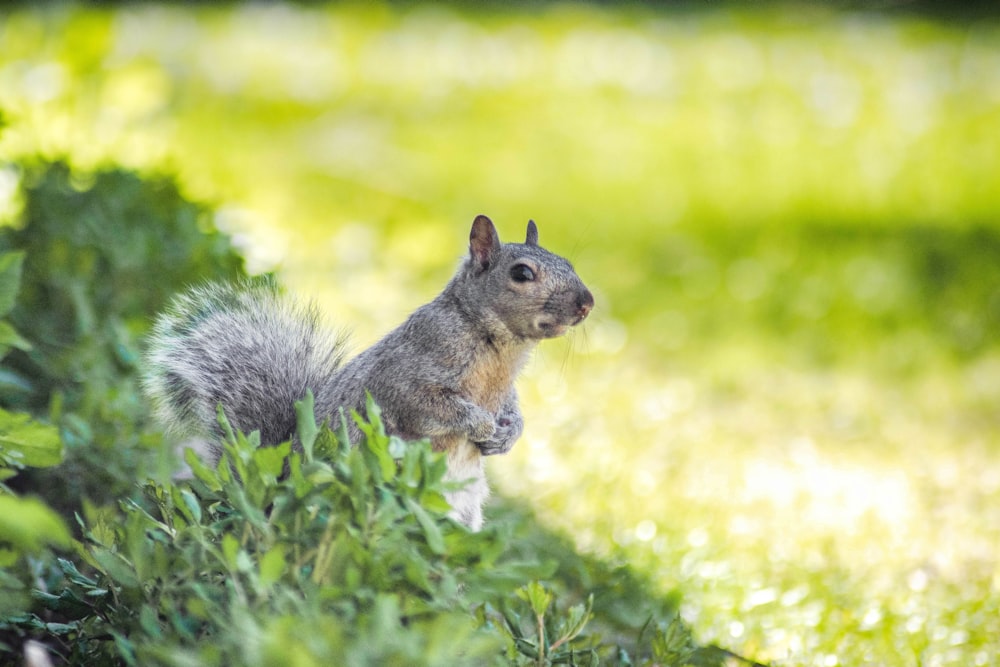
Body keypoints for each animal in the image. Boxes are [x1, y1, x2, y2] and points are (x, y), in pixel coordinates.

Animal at [142, 217, 592, 528]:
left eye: (570, 262)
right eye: (522, 273)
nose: (586, 303)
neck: (501, 350)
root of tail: (273, 499)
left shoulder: (506, 388)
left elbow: (513, 408)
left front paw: (508, 434)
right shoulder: (408, 375)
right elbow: (432, 407)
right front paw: (480, 425)